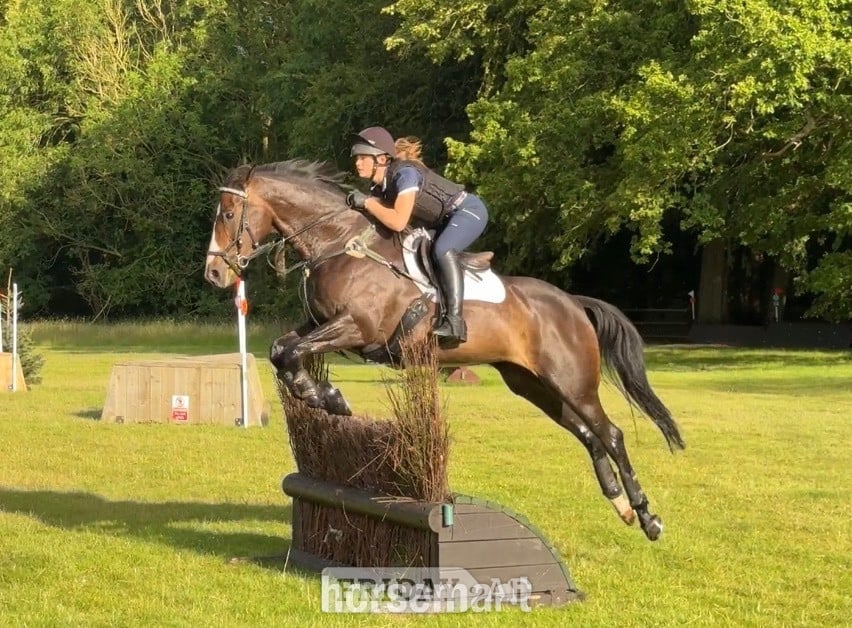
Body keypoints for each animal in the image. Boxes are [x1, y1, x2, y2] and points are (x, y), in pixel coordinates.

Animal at [204, 159, 685, 541]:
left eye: (227, 213)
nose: (214, 274)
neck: (338, 243)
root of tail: (572, 303)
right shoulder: (322, 324)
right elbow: (282, 349)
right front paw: (322, 396)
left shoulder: (356, 328)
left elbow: (291, 353)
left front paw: (329, 397)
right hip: (532, 384)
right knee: (587, 434)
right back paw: (620, 506)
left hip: (572, 382)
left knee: (611, 433)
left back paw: (647, 517)